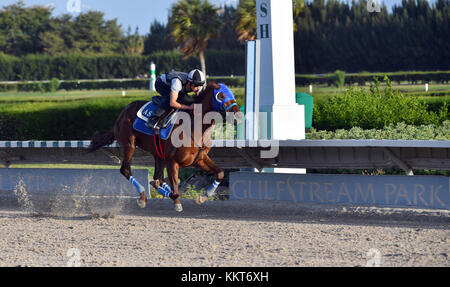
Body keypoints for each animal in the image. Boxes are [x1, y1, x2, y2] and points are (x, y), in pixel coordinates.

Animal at [88, 82, 243, 213]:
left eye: (233, 95)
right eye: (221, 96)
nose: (238, 115)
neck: (195, 127)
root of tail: (121, 114)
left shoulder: (199, 159)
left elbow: (220, 173)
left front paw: (203, 196)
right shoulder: (173, 162)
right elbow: (175, 190)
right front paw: (176, 201)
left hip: (157, 153)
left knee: (158, 178)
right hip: (129, 145)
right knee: (126, 170)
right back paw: (143, 197)